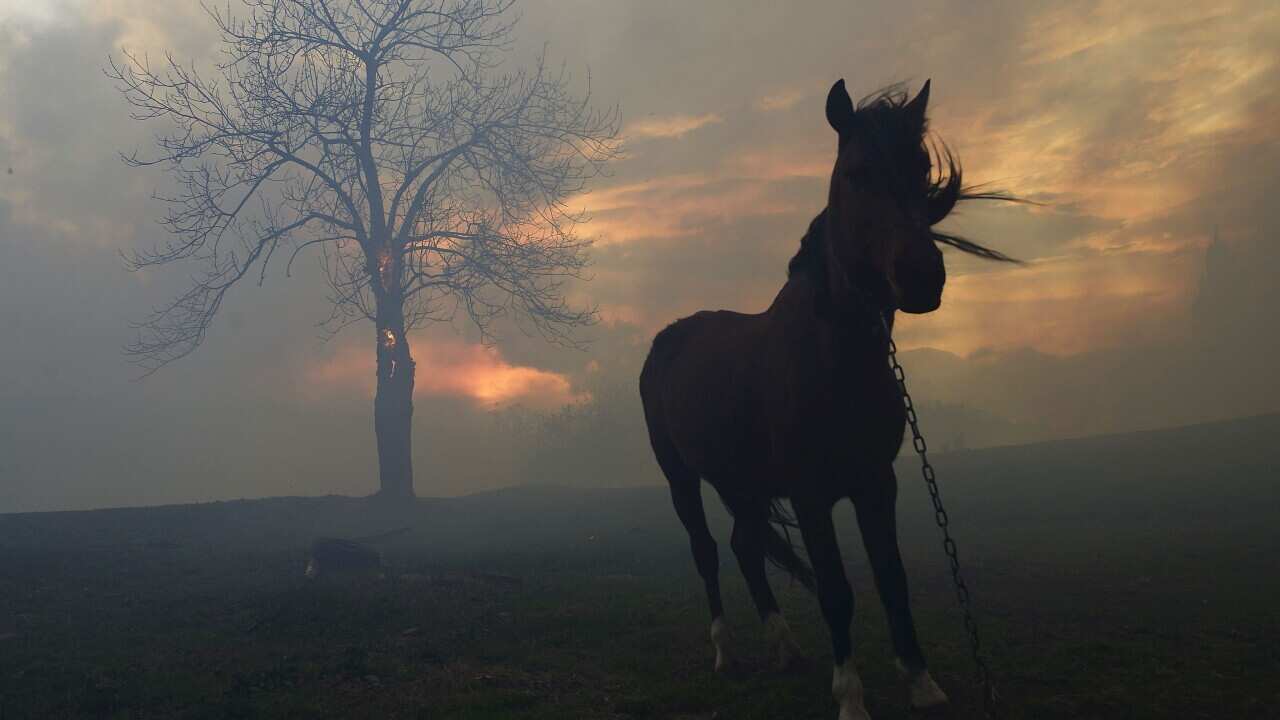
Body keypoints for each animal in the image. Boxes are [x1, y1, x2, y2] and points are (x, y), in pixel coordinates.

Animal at [639, 78, 1018, 720]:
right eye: (858, 173)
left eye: (921, 168)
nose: (921, 276)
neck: (832, 358)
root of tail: (667, 340)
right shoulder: (812, 494)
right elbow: (837, 591)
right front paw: (850, 697)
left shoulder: (877, 483)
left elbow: (891, 578)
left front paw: (922, 682)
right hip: (683, 479)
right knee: (708, 552)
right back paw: (726, 654)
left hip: (742, 481)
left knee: (745, 547)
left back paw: (785, 649)